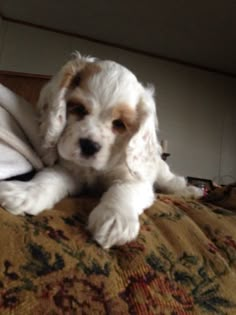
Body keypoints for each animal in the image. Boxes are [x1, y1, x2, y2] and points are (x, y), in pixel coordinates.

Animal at [0, 53, 201, 249]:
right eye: (79, 109)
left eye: (119, 124)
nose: (89, 146)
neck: (95, 169)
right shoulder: (68, 169)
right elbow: (48, 178)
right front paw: (24, 193)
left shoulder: (135, 180)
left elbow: (123, 189)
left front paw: (115, 220)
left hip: (161, 171)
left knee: (173, 181)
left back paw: (192, 191)